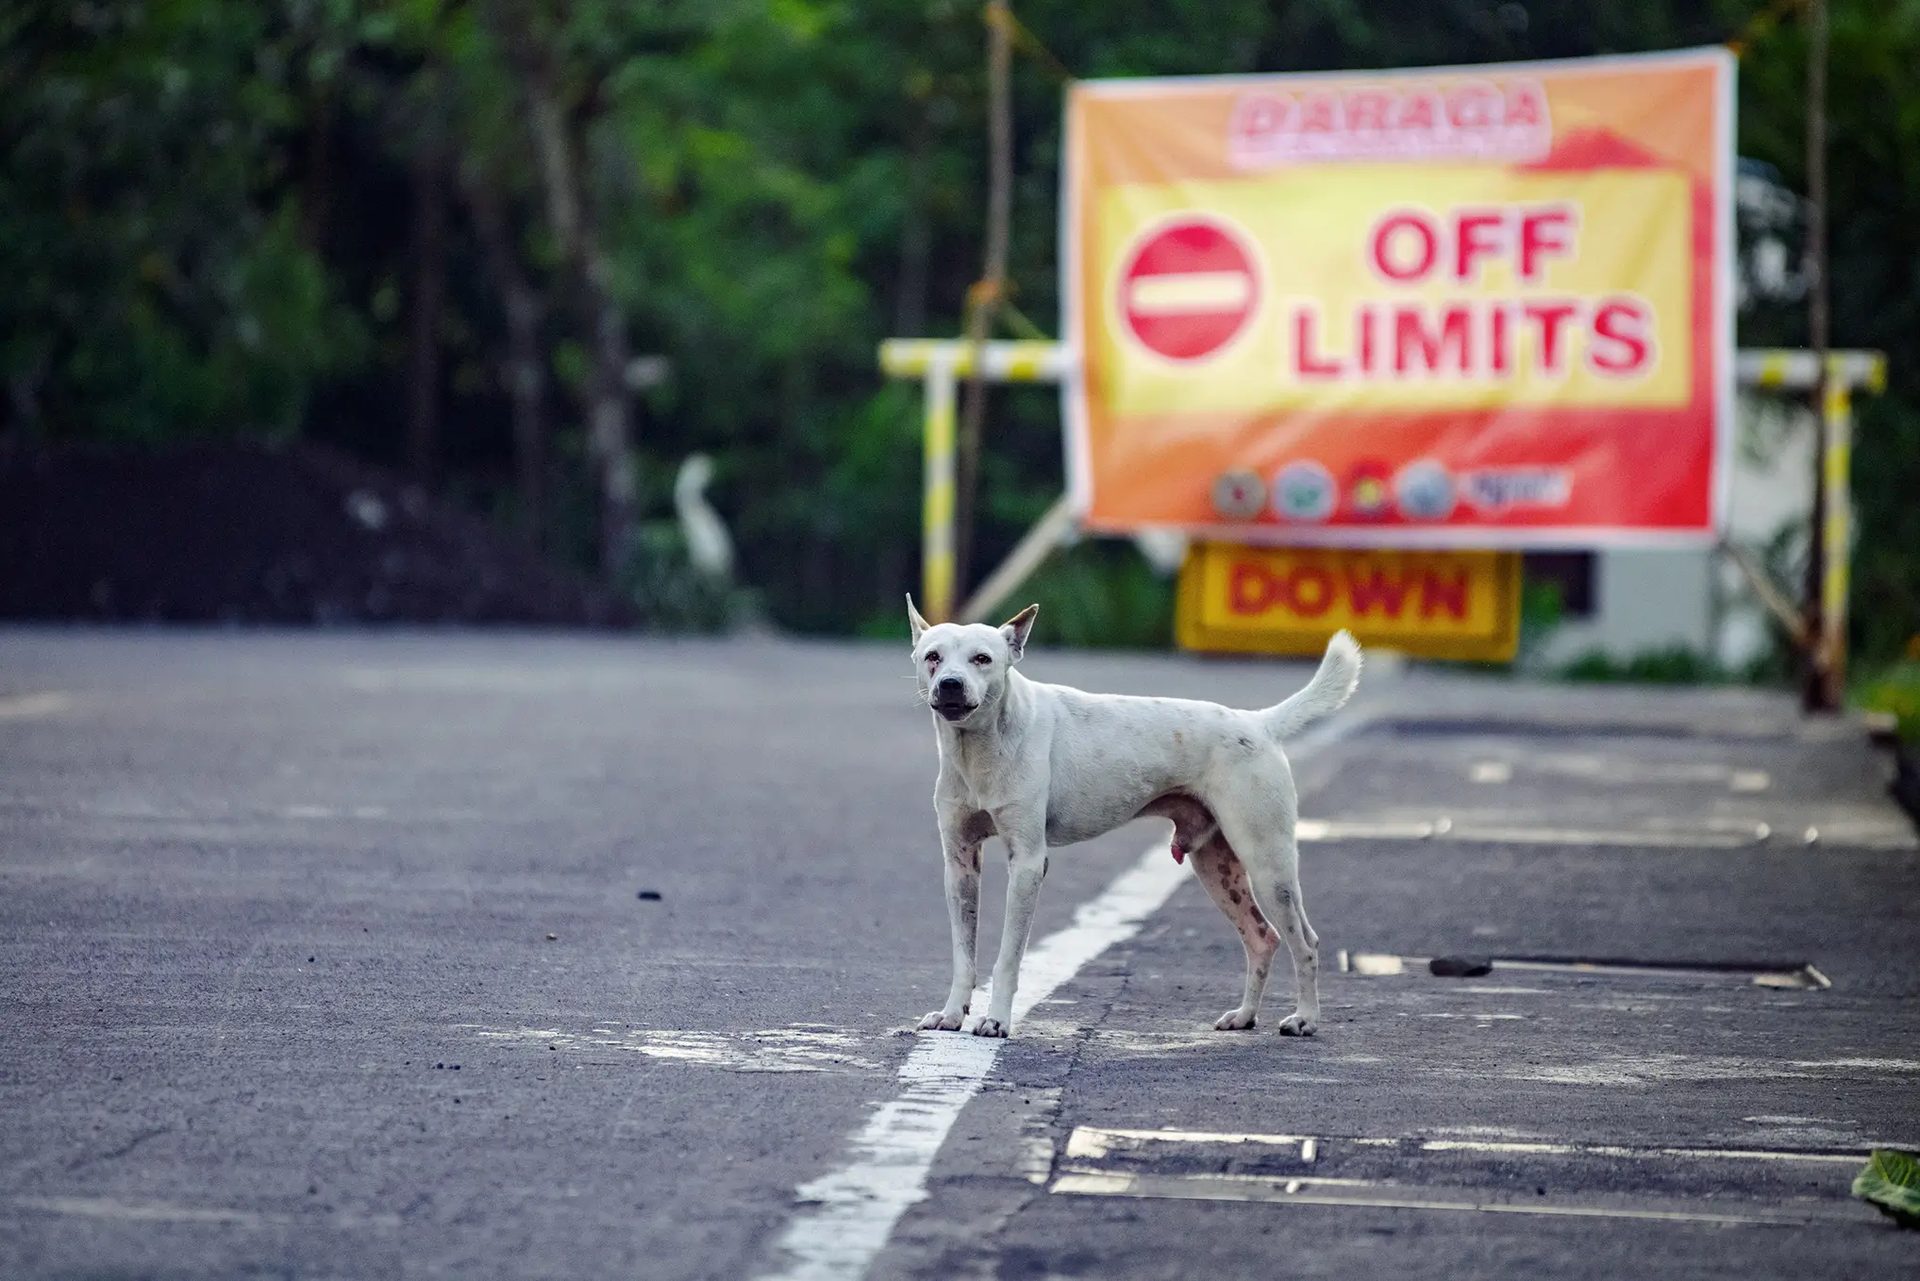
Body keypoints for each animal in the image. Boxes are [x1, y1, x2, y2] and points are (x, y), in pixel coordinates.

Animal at [906, 603, 1359, 1044]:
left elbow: (1007, 959)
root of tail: (1259, 724)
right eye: (933, 657)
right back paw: (1244, 1016)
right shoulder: (960, 865)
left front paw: (996, 1020)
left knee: (1306, 944)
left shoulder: (1028, 864)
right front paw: (952, 1015)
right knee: (1262, 938)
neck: (980, 747)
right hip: (1217, 868)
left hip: (1268, 867)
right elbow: (964, 956)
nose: (950, 684)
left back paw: (1305, 1019)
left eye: (982, 659)